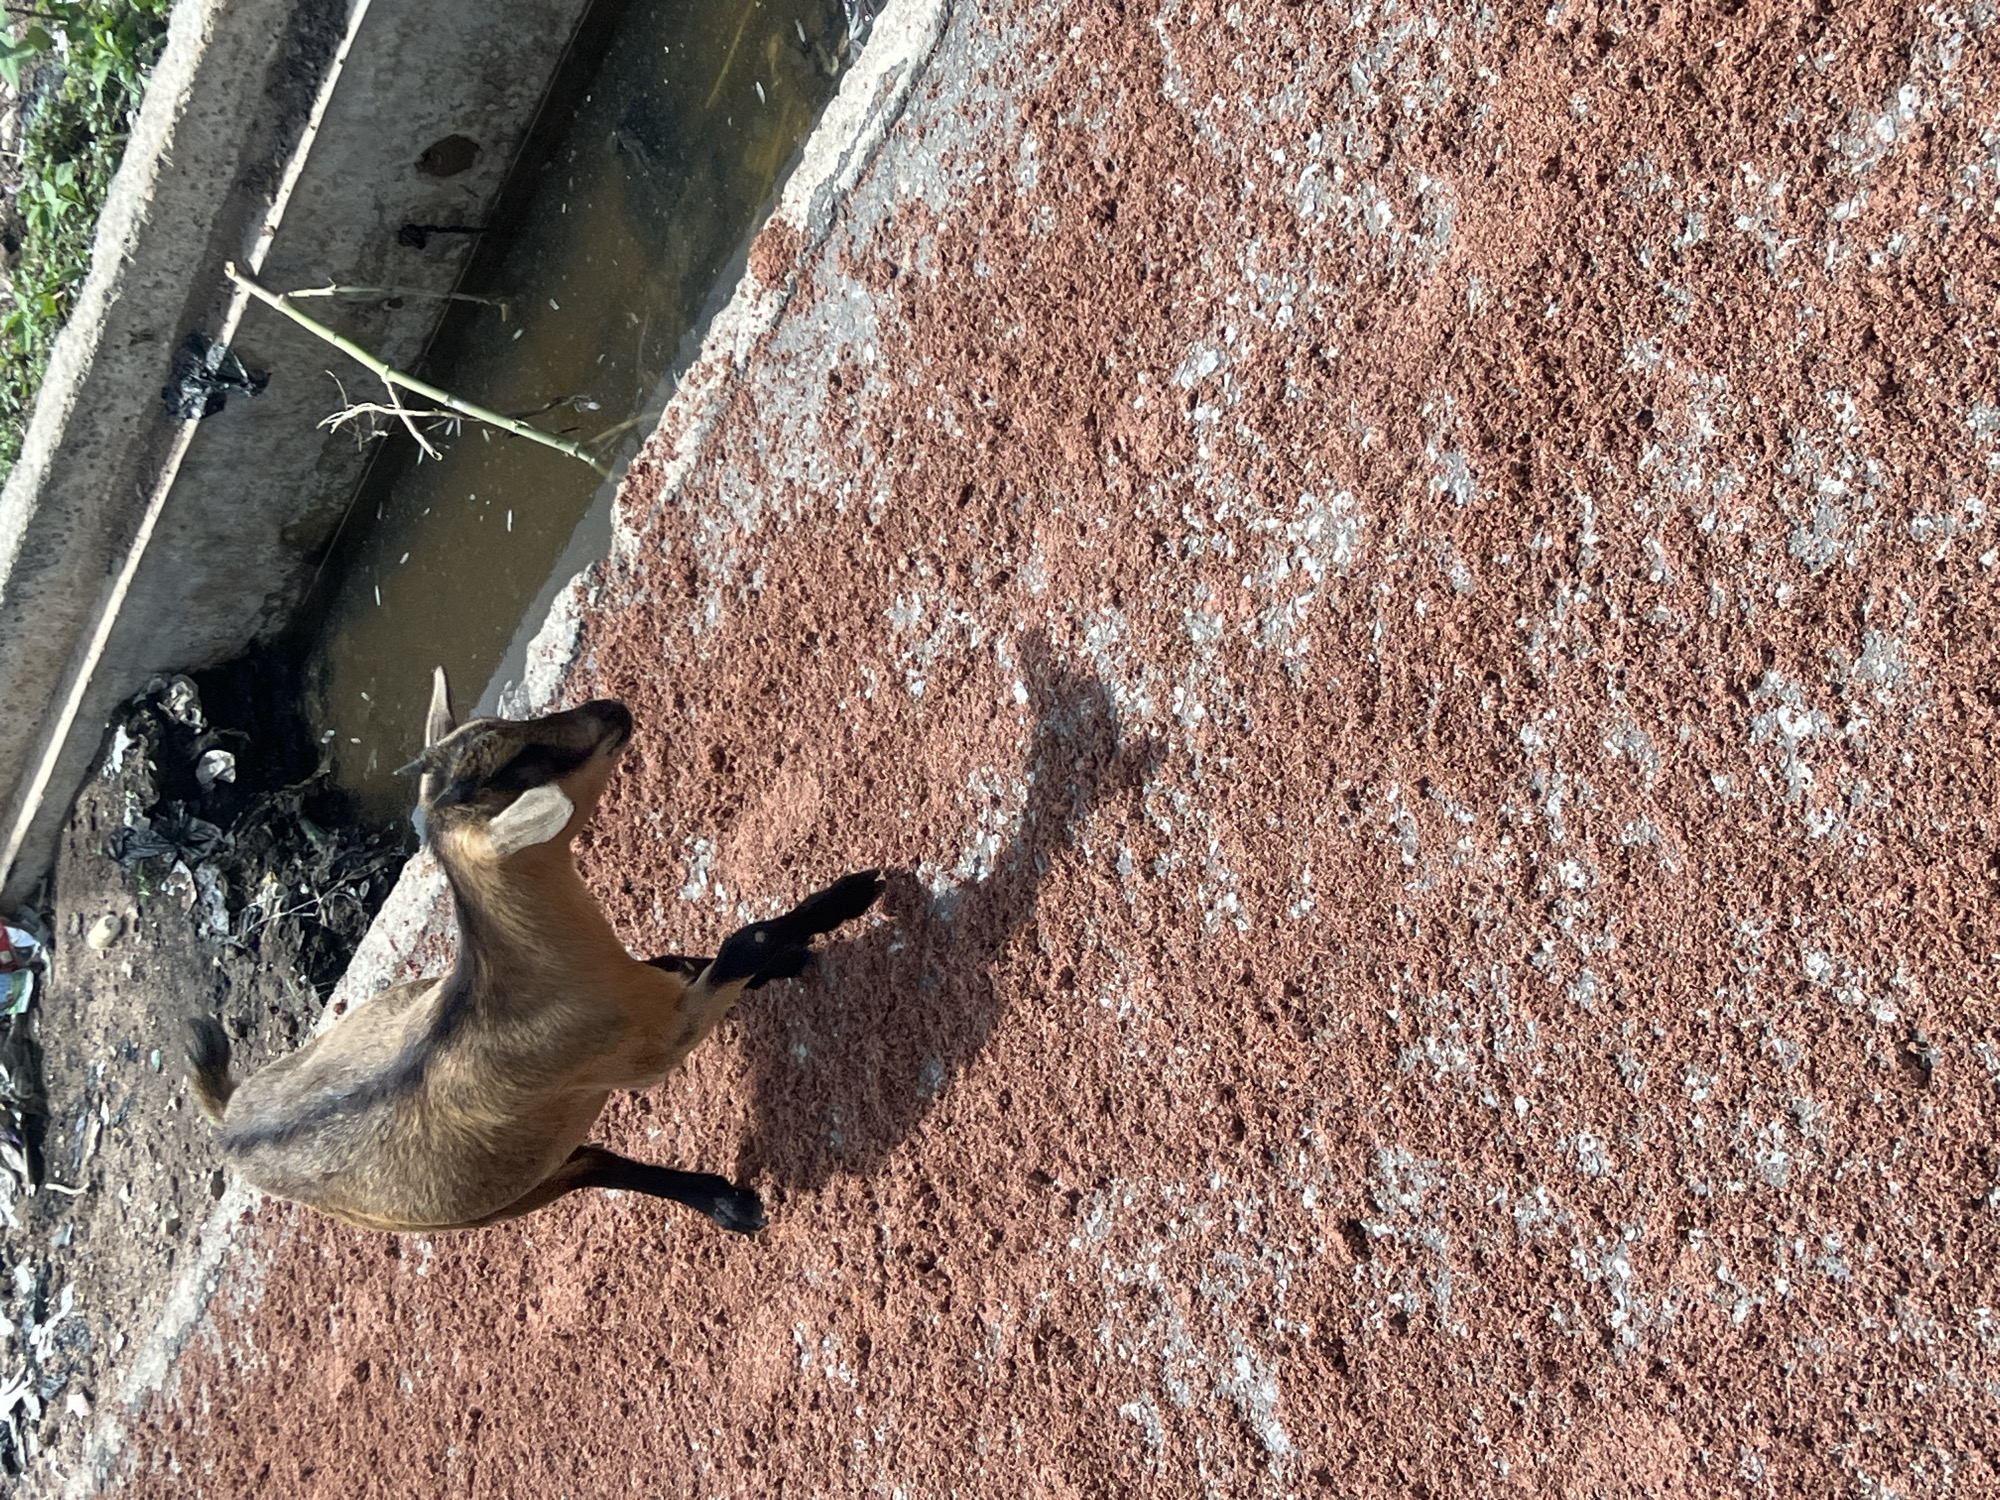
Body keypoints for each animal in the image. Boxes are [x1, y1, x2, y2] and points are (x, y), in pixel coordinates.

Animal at [185, 668, 880, 1234]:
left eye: (509, 728)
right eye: (522, 761)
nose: (611, 709)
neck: (544, 974)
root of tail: (229, 1121)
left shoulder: (649, 983)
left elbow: (700, 958)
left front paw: (808, 936)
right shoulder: (652, 1043)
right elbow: (742, 944)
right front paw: (848, 899)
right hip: (491, 1200)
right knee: (590, 1166)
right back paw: (727, 1204)